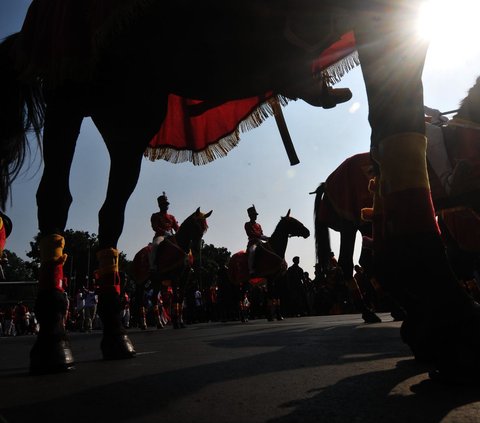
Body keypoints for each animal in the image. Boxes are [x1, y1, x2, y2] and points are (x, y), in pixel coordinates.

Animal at [0, 0, 476, 384]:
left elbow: (398, 117)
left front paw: (436, 316)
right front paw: (441, 314)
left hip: (130, 114)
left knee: (111, 215)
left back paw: (118, 336)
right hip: (71, 85)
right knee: (55, 197)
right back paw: (54, 340)